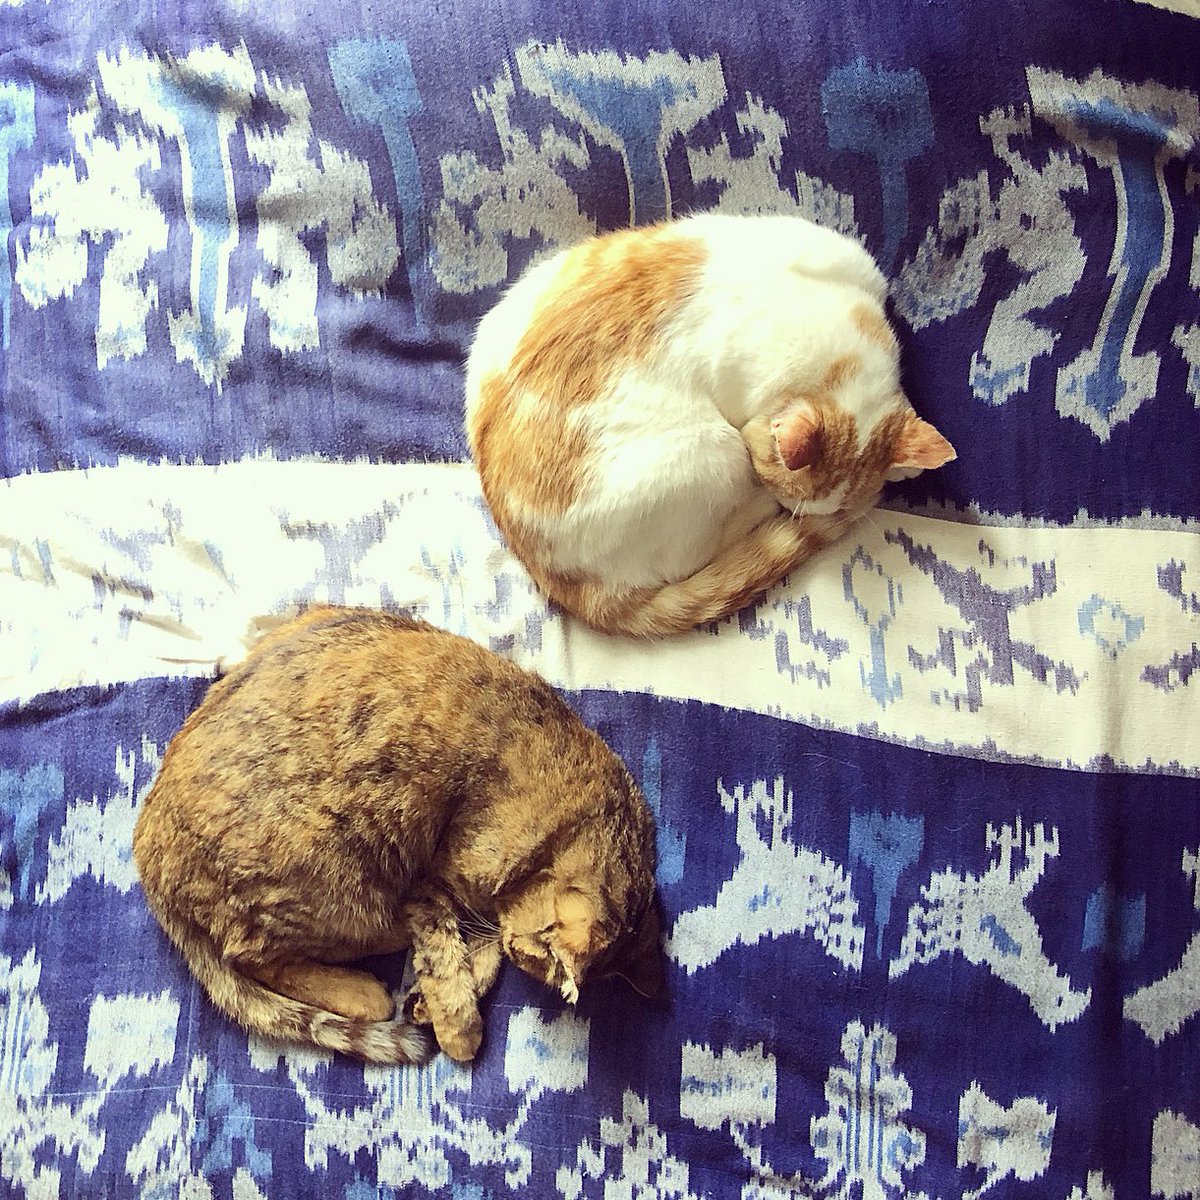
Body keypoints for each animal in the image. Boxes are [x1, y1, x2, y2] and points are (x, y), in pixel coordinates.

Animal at [133, 606, 663, 1065]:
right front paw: (458, 1027)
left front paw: (432, 1000)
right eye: (530, 960)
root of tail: (145, 851)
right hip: (339, 886)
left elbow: (478, 950)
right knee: (258, 958)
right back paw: (369, 987)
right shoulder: (435, 881)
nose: (514, 945)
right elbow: (448, 954)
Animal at [465, 212, 955, 636]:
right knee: (697, 553)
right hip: (715, 453)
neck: (843, 352)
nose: (785, 506)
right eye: (788, 496)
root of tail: (562, 584)